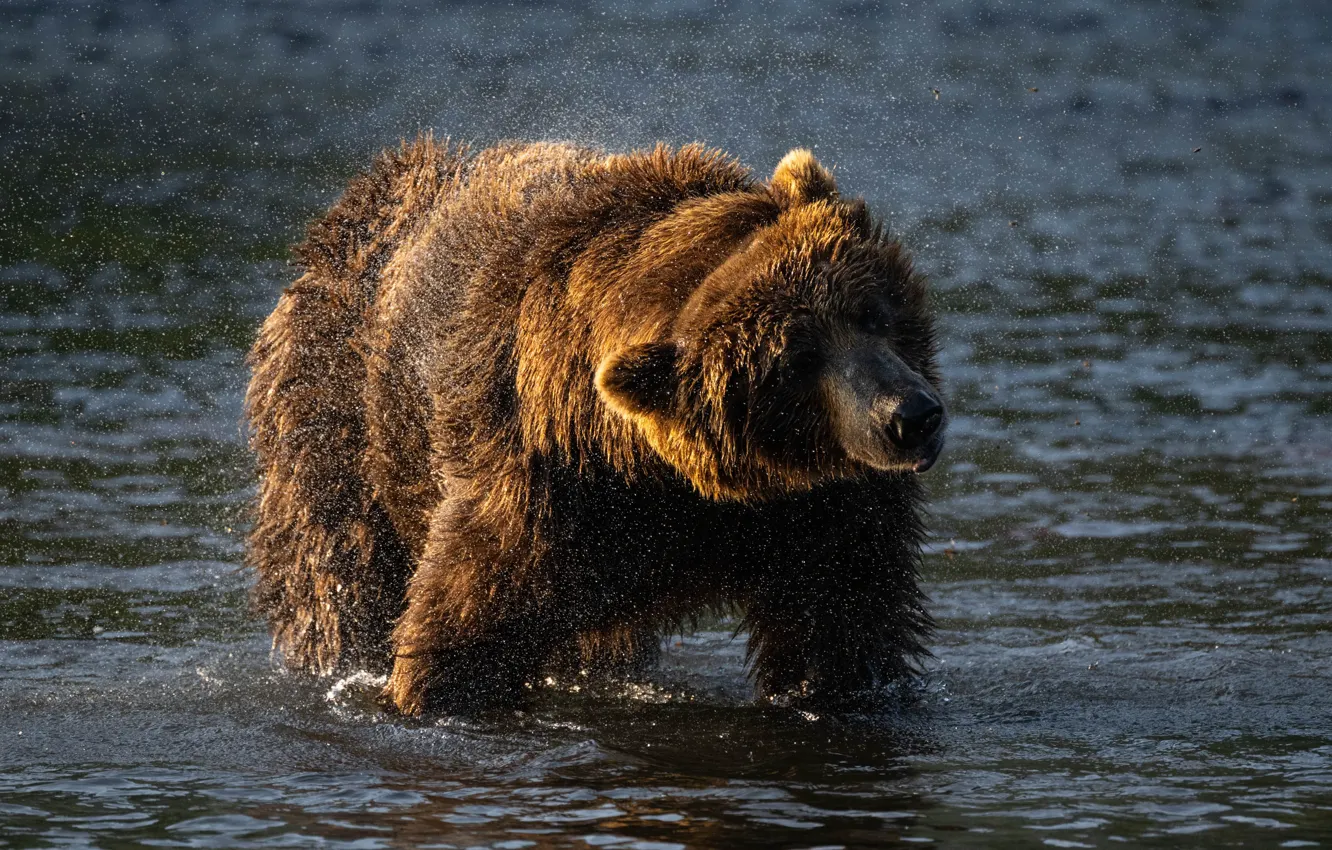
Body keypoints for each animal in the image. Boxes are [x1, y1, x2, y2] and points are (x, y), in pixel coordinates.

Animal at [245, 137, 946, 716]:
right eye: (795, 359)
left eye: (871, 312)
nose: (912, 417)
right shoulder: (548, 485)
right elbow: (468, 617)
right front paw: (429, 687)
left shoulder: (822, 511)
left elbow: (843, 623)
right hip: (338, 410)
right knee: (337, 573)